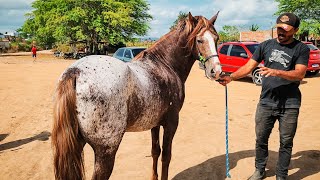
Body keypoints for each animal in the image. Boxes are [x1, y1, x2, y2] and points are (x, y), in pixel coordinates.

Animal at [53, 11, 222, 179]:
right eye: (199, 40)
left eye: (217, 38)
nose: (216, 71)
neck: (165, 65)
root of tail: (76, 72)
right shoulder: (171, 123)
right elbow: (166, 156)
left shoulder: (155, 124)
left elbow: (155, 151)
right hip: (106, 152)